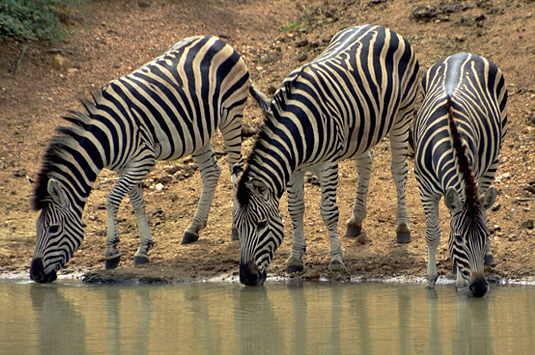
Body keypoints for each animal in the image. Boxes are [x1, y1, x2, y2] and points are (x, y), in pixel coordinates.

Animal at [30, 35, 252, 284]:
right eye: (37, 228)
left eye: (53, 229)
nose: (35, 274)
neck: (106, 137)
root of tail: (215, 38)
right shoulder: (124, 167)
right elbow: (138, 204)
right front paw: (143, 249)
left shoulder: (143, 160)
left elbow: (112, 199)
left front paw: (111, 252)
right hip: (197, 130)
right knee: (211, 172)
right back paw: (193, 229)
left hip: (232, 114)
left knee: (235, 167)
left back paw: (235, 227)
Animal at [232, 25, 420, 286]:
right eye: (236, 227)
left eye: (261, 225)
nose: (247, 278)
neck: (298, 129)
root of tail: (381, 28)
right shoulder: (293, 169)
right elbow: (295, 208)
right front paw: (295, 258)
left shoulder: (328, 164)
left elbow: (328, 211)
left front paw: (336, 260)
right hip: (362, 128)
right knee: (366, 163)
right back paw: (356, 221)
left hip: (402, 115)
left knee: (398, 169)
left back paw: (403, 227)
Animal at [416, 52, 508, 298]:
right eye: (459, 239)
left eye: (486, 236)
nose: (479, 288)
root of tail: (464, 54)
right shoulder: (424, 188)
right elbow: (433, 234)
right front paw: (430, 280)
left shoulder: (470, 176)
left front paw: (459, 281)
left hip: (493, 157)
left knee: (485, 205)